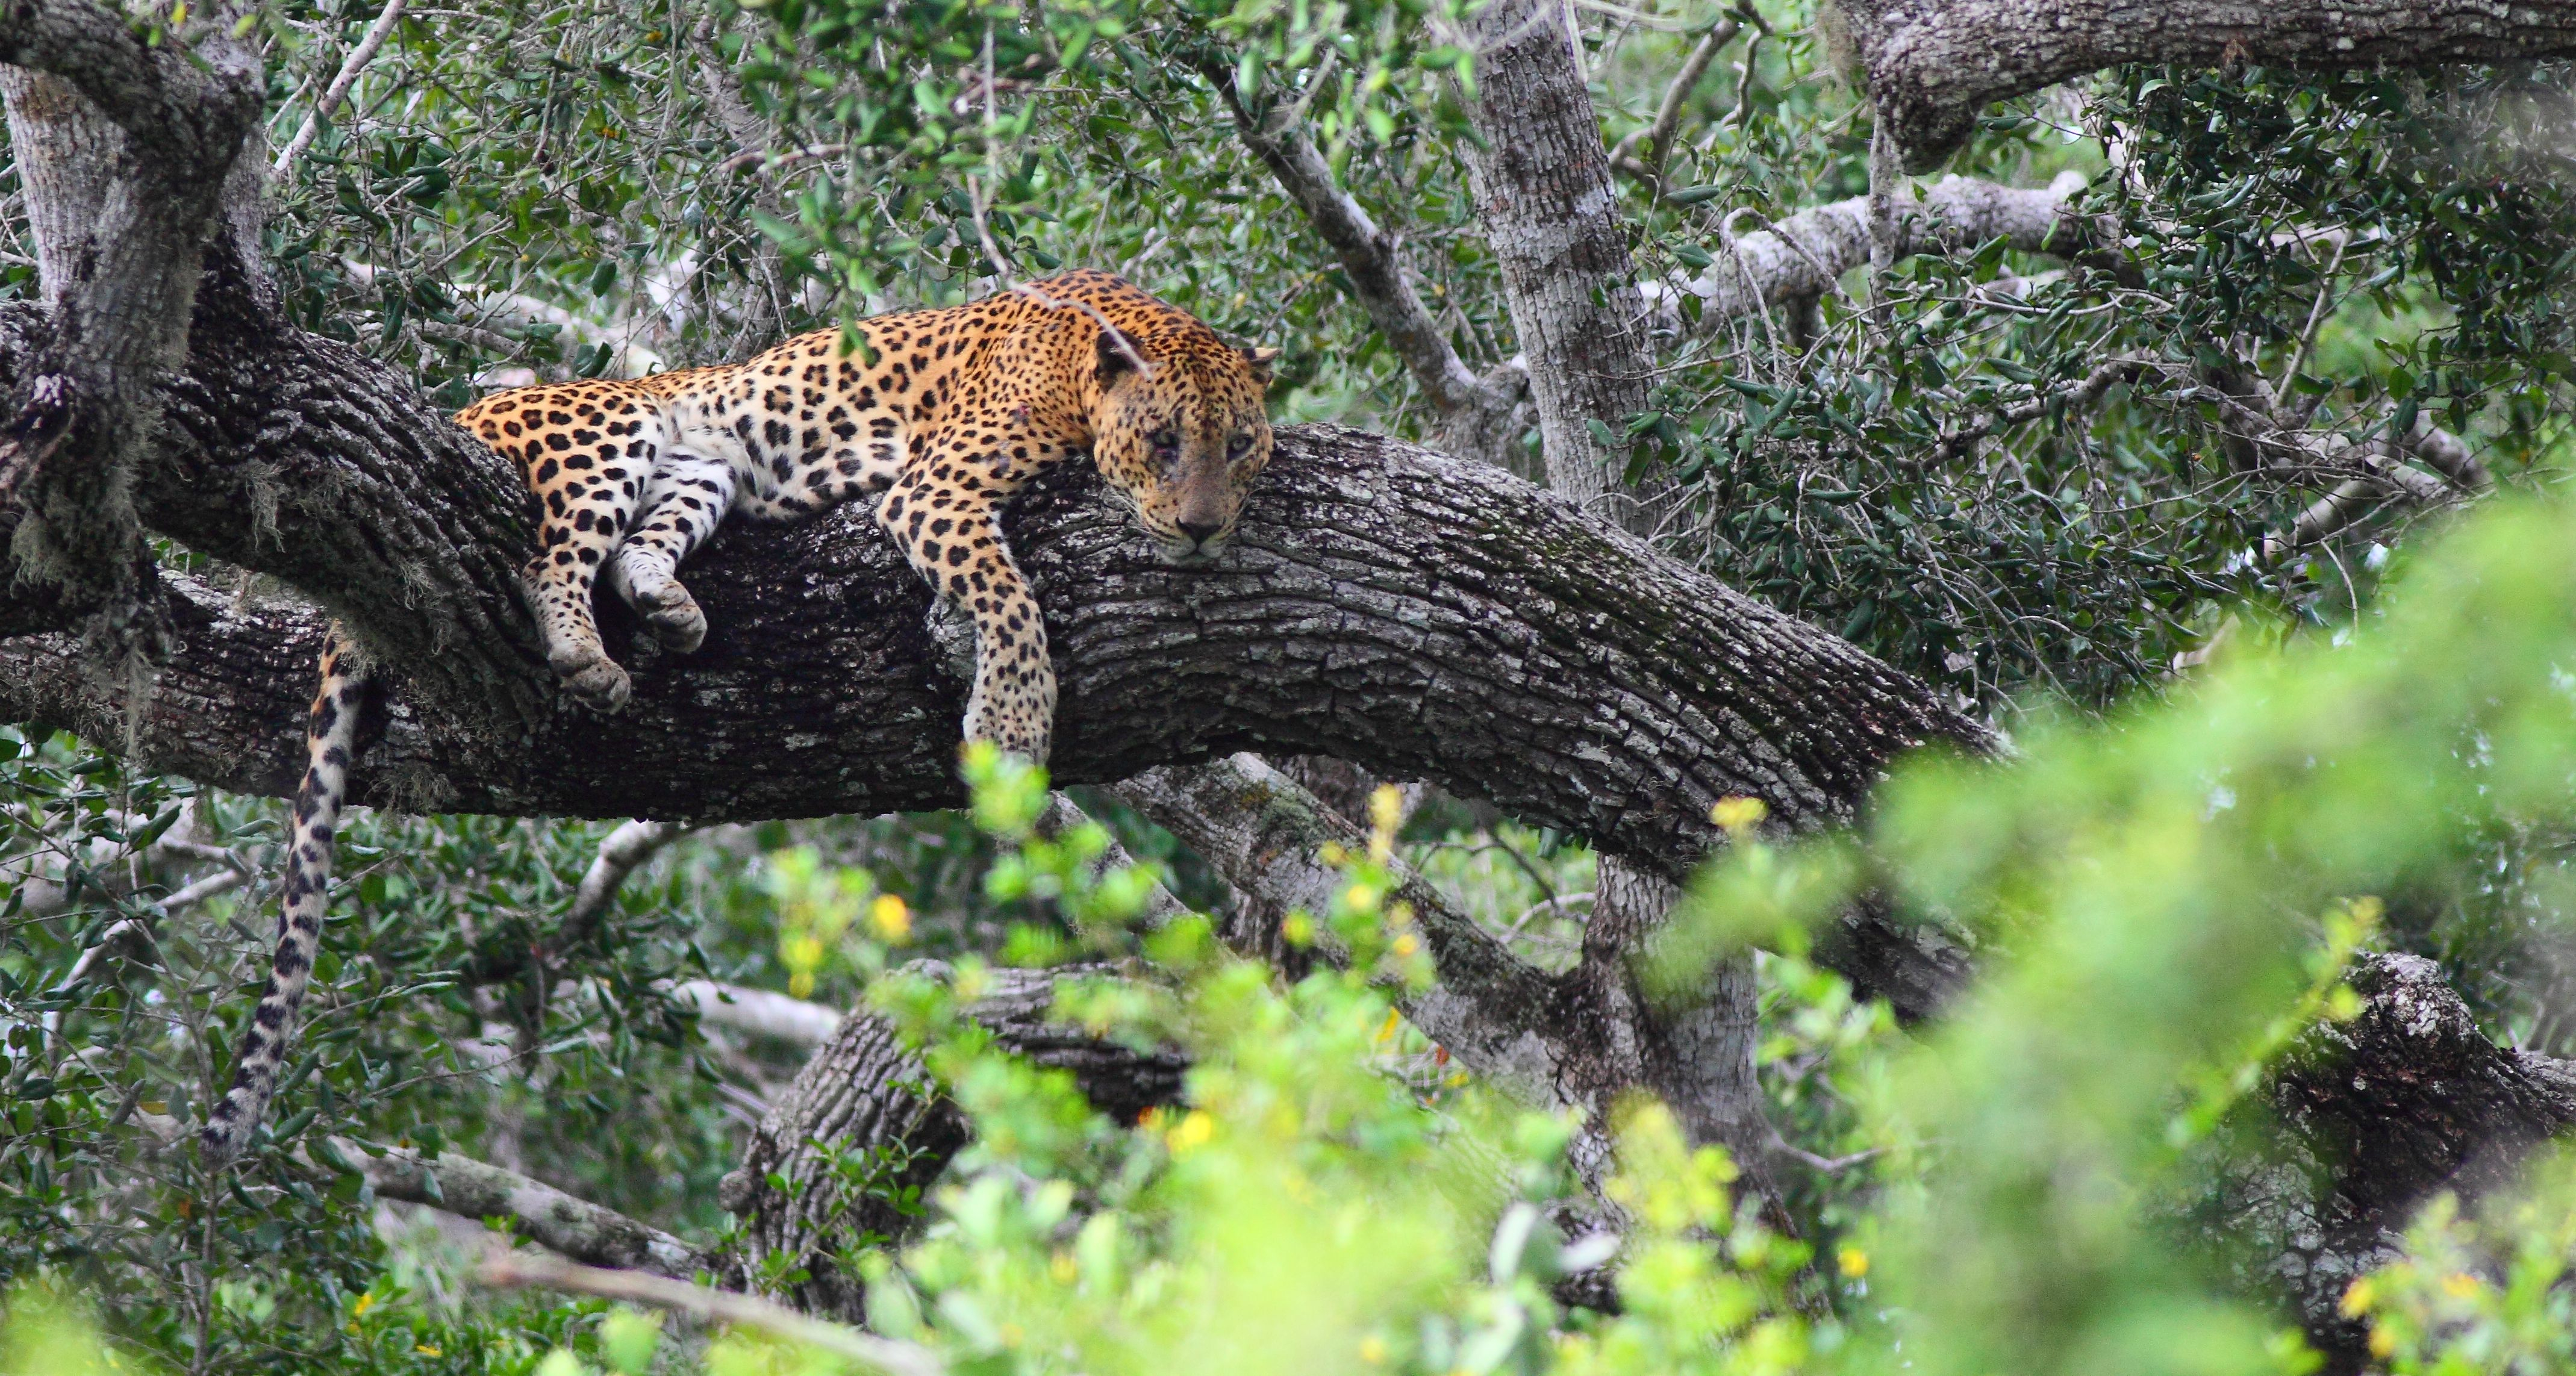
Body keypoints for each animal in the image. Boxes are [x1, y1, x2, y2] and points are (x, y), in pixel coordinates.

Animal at [200, 270, 1276, 1164]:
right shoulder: (936, 487)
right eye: (1165, 442)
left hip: (701, 469)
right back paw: (587, 657)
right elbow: (1010, 600)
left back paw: (672, 611)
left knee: (634, 553)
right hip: (611, 426)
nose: (1202, 531)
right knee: (552, 557)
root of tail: (468, 403)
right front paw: (1012, 725)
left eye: (1240, 445)